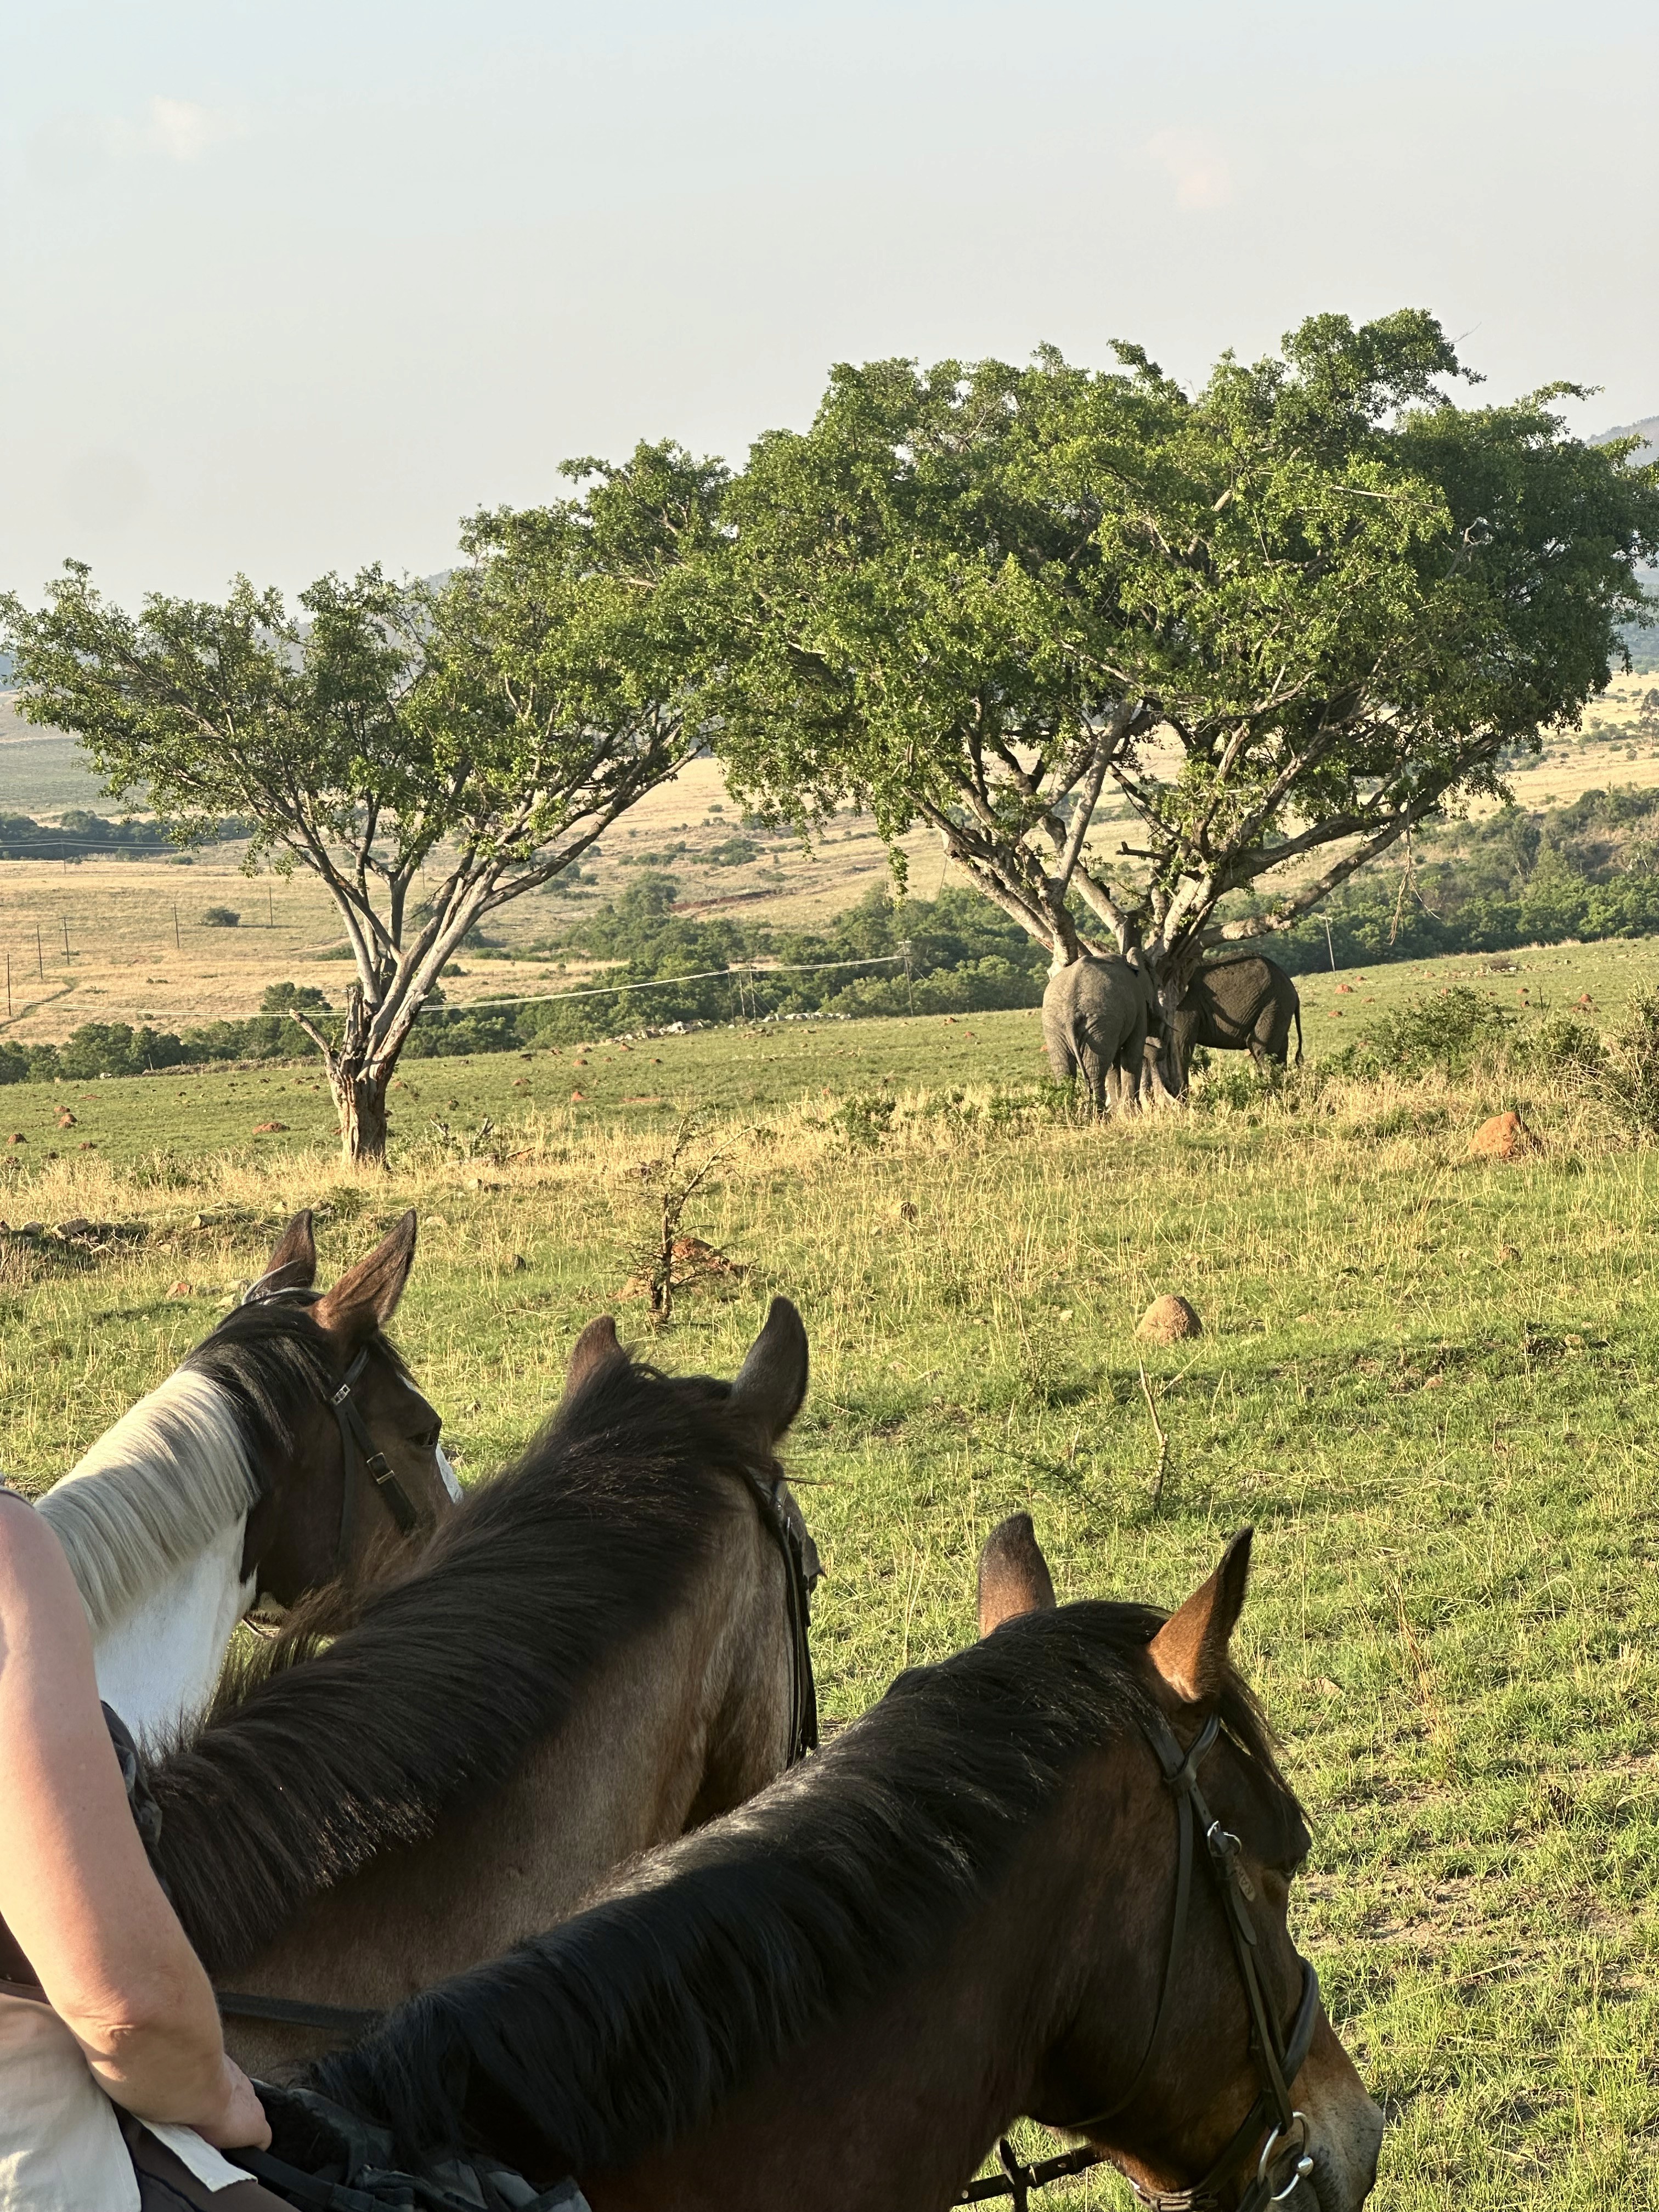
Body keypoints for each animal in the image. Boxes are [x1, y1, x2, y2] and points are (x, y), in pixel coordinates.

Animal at [1042, 953, 1160, 1114]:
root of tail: (1070, 1012)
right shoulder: (1139, 1006)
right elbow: (1133, 1056)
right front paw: (1132, 1114)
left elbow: (1114, 1064)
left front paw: (1121, 1112)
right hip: (1100, 1021)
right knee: (1095, 1072)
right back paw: (1100, 1116)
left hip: (1057, 1025)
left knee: (1065, 1070)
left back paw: (1070, 1116)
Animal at [1165, 955, 1303, 1090]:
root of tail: (1294, 992)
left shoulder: (1185, 1006)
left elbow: (1180, 1047)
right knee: (1279, 1052)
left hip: (1275, 1004)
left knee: (1263, 1051)